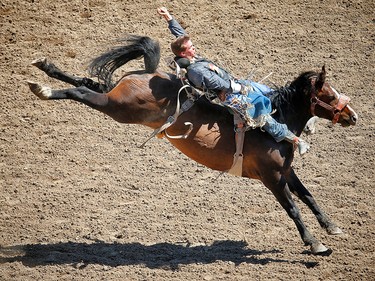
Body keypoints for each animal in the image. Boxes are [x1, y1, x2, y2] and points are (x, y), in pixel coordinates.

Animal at [27, 34, 358, 254]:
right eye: (328, 94)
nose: (352, 115)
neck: (276, 123)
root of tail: (150, 73)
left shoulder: (285, 171)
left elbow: (308, 196)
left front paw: (331, 226)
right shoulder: (272, 177)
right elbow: (292, 207)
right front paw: (315, 243)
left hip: (115, 97)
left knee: (89, 83)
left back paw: (46, 68)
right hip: (118, 108)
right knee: (83, 93)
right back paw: (43, 88)